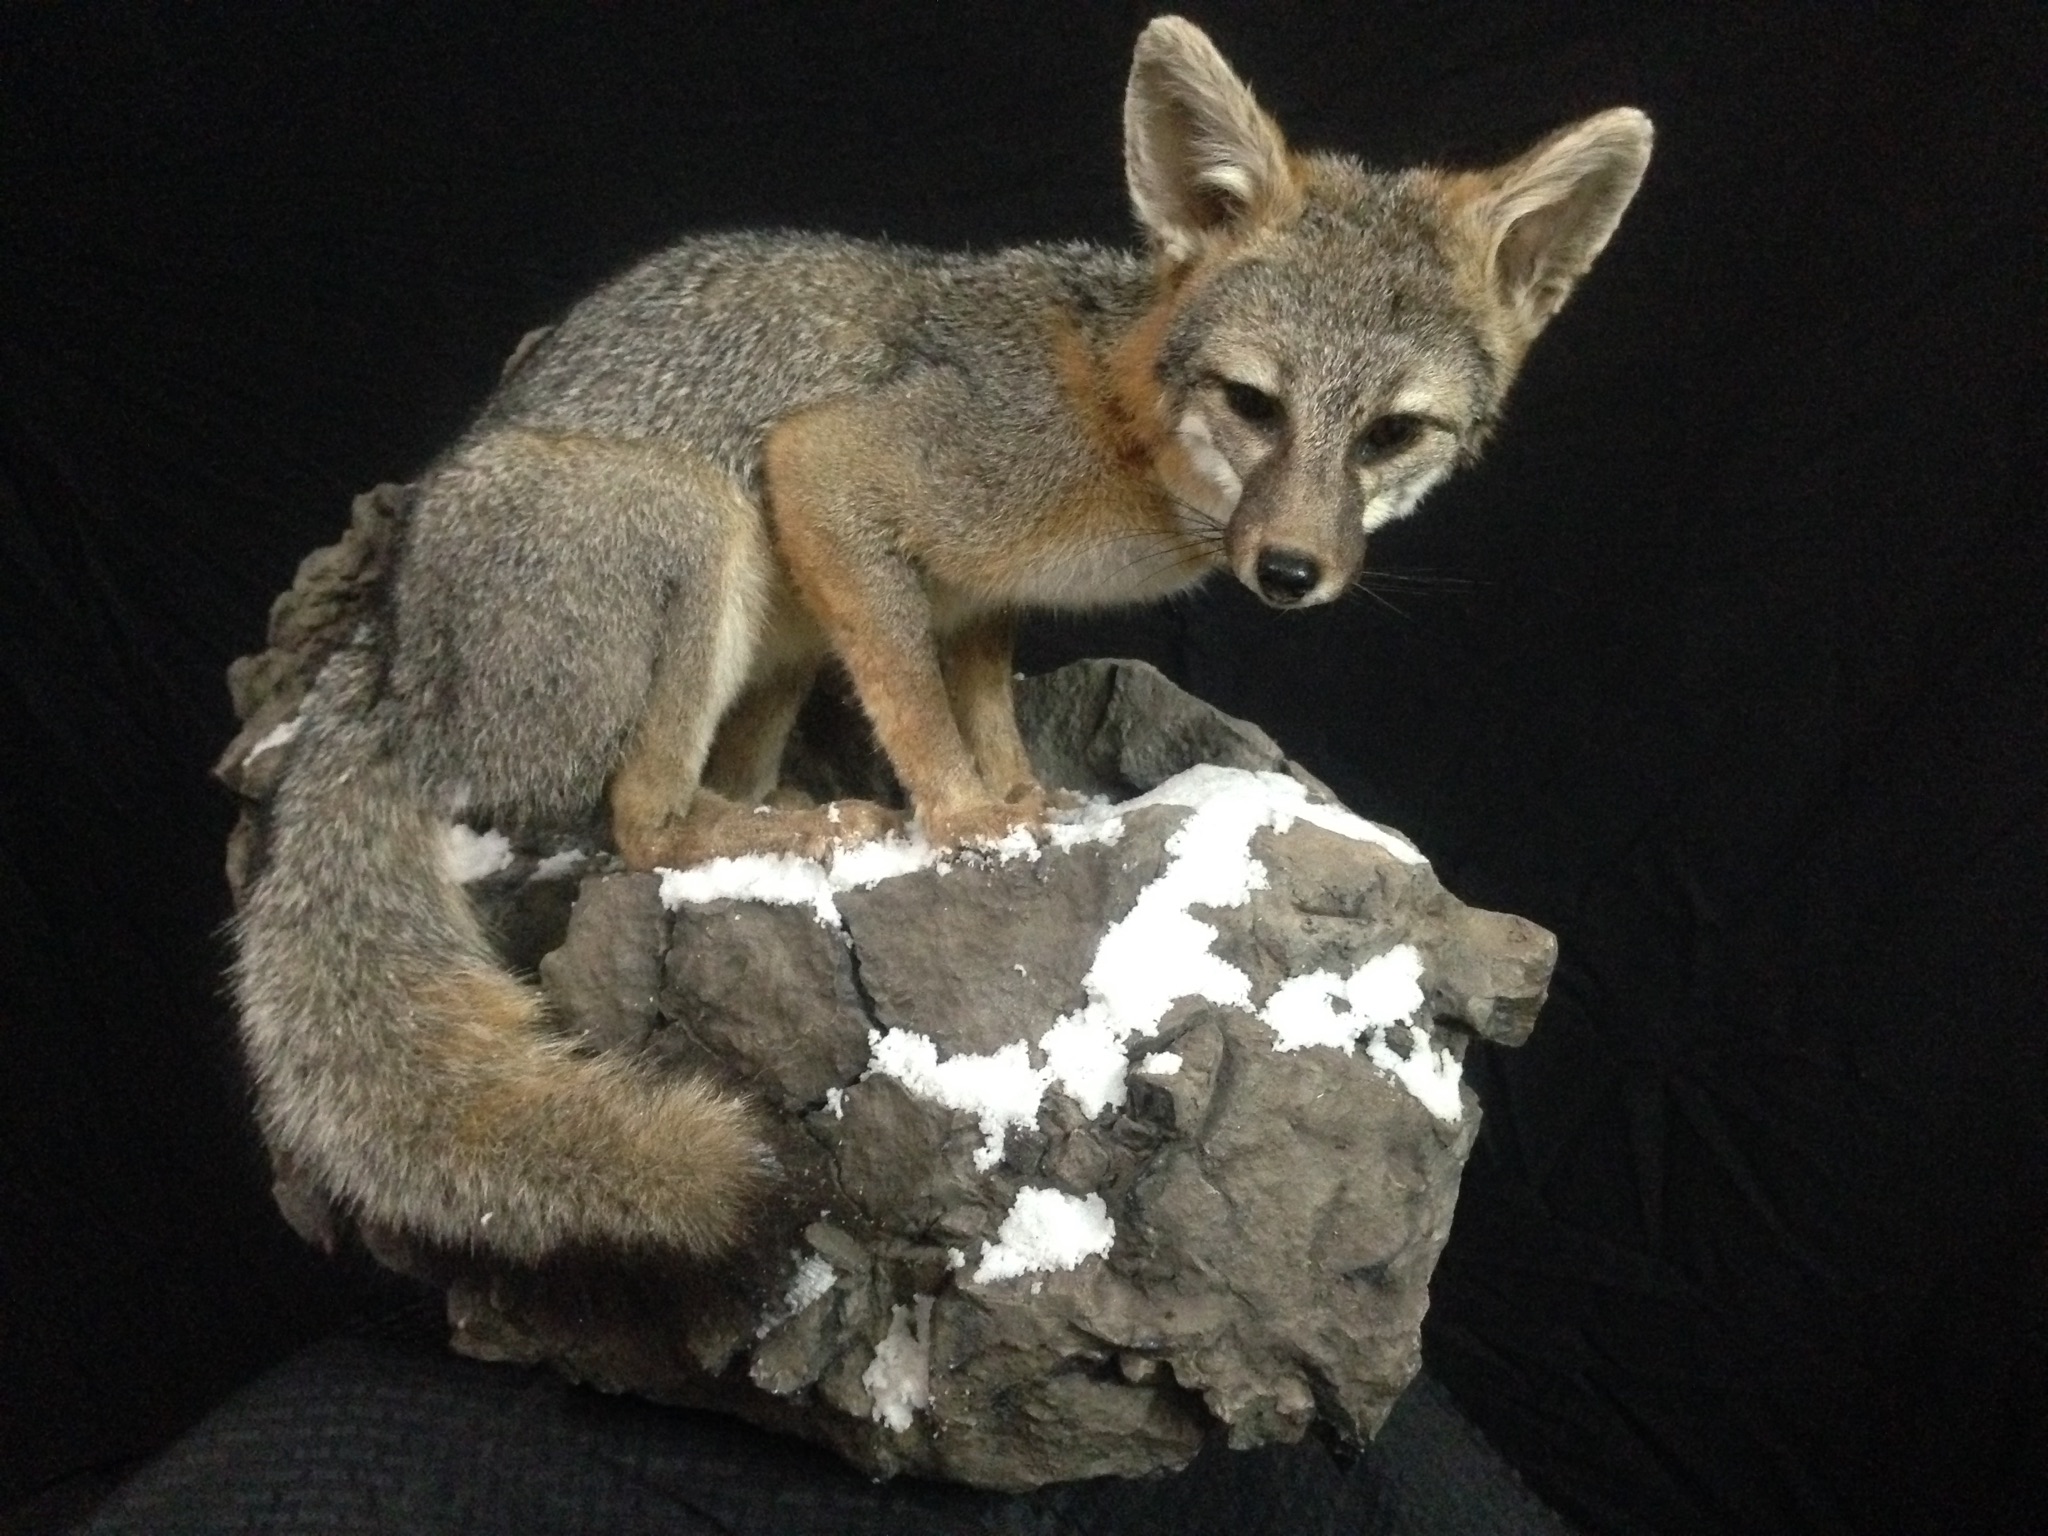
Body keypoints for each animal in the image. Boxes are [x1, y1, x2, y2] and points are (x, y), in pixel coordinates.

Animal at [232, 16, 1651, 1266]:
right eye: (1254, 404)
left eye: (1389, 435)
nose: (1290, 572)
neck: (1117, 422)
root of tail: (392, 659)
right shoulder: (831, 471)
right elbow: (914, 706)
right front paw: (963, 819)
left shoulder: (976, 595)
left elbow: (979, 702)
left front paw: (1025, 795)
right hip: (709, 523)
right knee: (636, 819)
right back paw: (788, 830)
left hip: (781, 637)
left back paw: (779, 814)